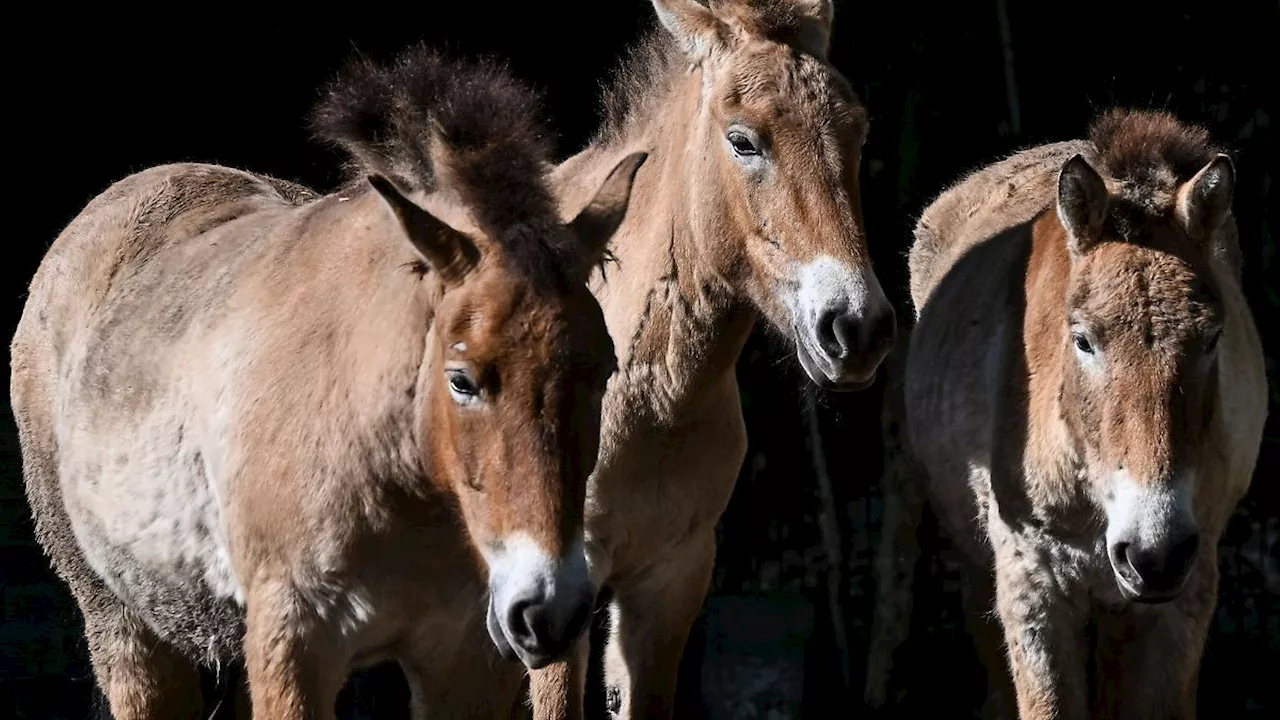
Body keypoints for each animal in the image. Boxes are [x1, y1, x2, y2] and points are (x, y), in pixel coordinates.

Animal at [10, 46, 650, 717]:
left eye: (604, 371)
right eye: (462, 380)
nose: (549, 611)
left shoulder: (466, 660)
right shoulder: (294, 647)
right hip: (127, 632)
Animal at [901, 107, 1269, 717]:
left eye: (1213, 337)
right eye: (1082, 340)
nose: (1153, 551)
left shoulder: (1183, 595)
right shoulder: (1032, 588)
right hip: (980, 572)